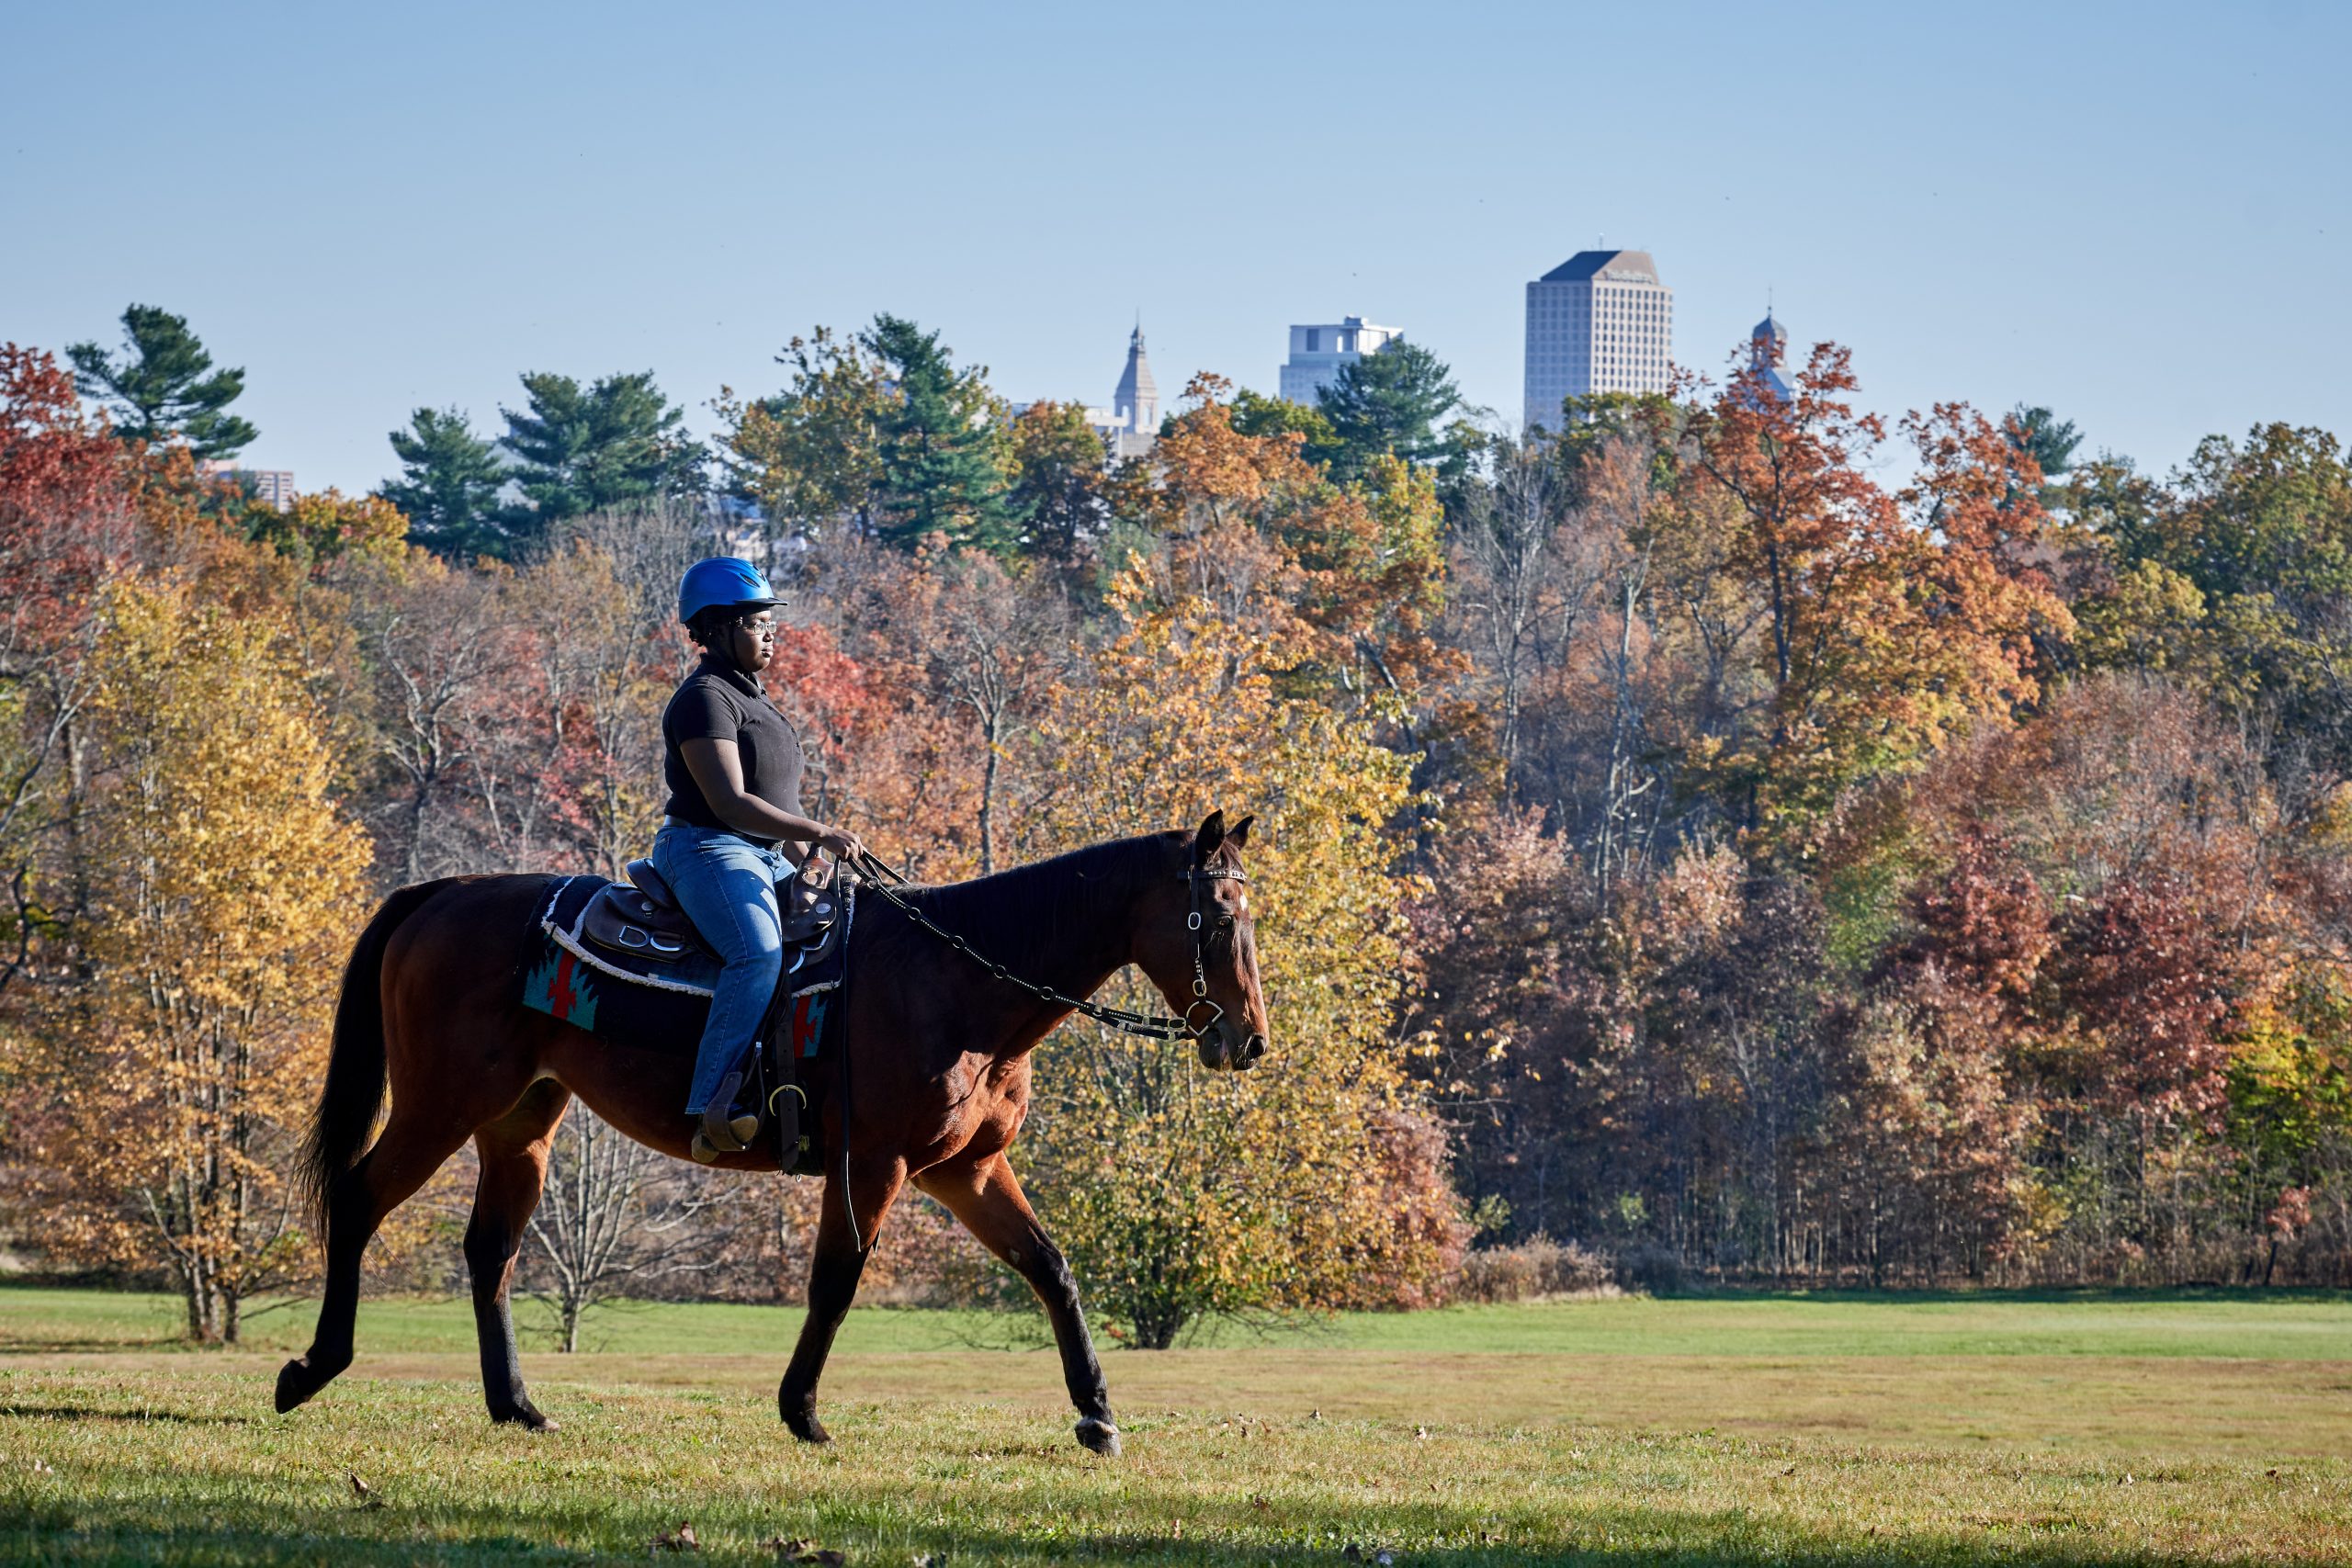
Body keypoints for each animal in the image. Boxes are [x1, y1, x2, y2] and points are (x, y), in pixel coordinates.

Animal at [272, 818, 1270, 1457]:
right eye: (1217, 918)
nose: (1250, 1039)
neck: (953, 980)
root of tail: (442, 893)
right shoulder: (872, 1163)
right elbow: (836, 1282)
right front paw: (803, 1412)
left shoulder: (966, 1169)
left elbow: (1051, 1269)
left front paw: (1097, 1415)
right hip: (440, 1104)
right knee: (360, 1200)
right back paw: (315, 1367)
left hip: (520, 1120)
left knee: (491, 1252)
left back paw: (515, 1405)